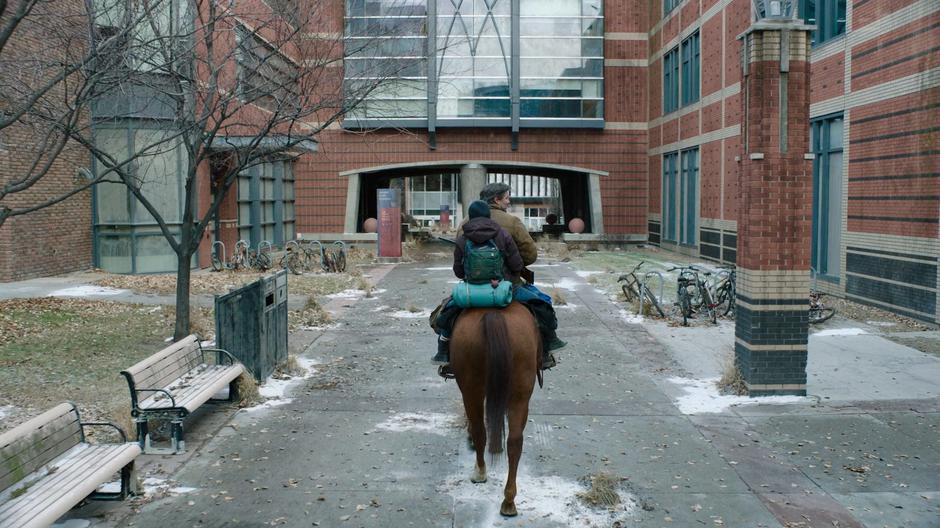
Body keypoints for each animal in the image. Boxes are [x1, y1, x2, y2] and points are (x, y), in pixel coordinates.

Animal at [450, 302, 544, 516]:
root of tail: (494, 315)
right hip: (520, 393)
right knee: (514, 441)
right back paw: (509, 500)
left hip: (471, 389)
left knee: (480, 431)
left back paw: (480, 472)